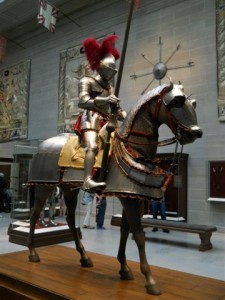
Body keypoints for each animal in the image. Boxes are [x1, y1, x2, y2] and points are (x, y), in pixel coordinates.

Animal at [25, 82, 202, 296]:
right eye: (177, 101)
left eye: (193, 103)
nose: (195, 133)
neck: (134, 150)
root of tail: (41, 145)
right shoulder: (128, 199)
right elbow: (139, 236)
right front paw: (150, 280)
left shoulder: (132, 197)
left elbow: (126, 231)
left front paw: (124, 268)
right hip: (43, 185)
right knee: (34, 214)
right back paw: (33, 252)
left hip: (69, 188)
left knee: (69, 219)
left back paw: (84, 257)